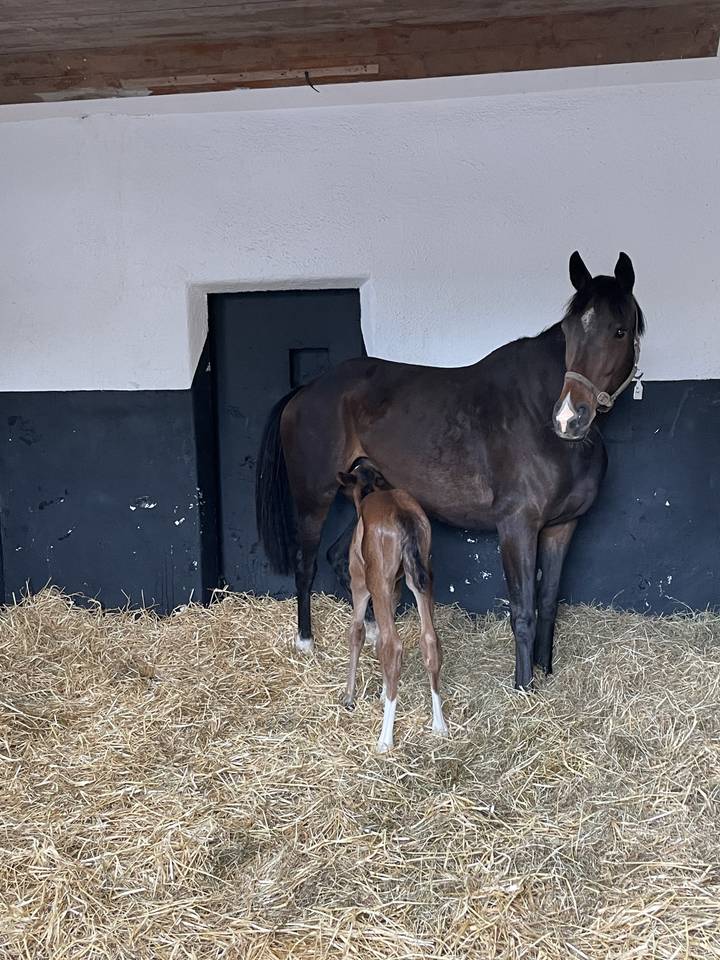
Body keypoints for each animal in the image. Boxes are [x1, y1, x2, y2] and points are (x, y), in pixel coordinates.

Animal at [255, 252, 644, 690]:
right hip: (313, 500)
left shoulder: (563, 527)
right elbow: (523, 610)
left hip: (366, 499)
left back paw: (371, 632)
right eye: (570, 332)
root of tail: (307, 389)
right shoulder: (517, 527)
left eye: (619, 331)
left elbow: (548, 603)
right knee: (305, 564)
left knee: (340, 558)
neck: (544, 424)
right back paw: (306, 643)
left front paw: (545, 672)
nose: (569, 418)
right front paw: (524, 686)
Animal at [337, 460, 448, 752]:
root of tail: (403, 515)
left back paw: (385, 739)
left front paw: (350, 697)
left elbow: (357, 632)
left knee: (393, 646)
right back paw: (440, 725)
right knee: (429, 640)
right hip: (421, 580)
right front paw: (382, 691)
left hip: (378, 582)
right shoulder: (396, 589)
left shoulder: (361, 584)